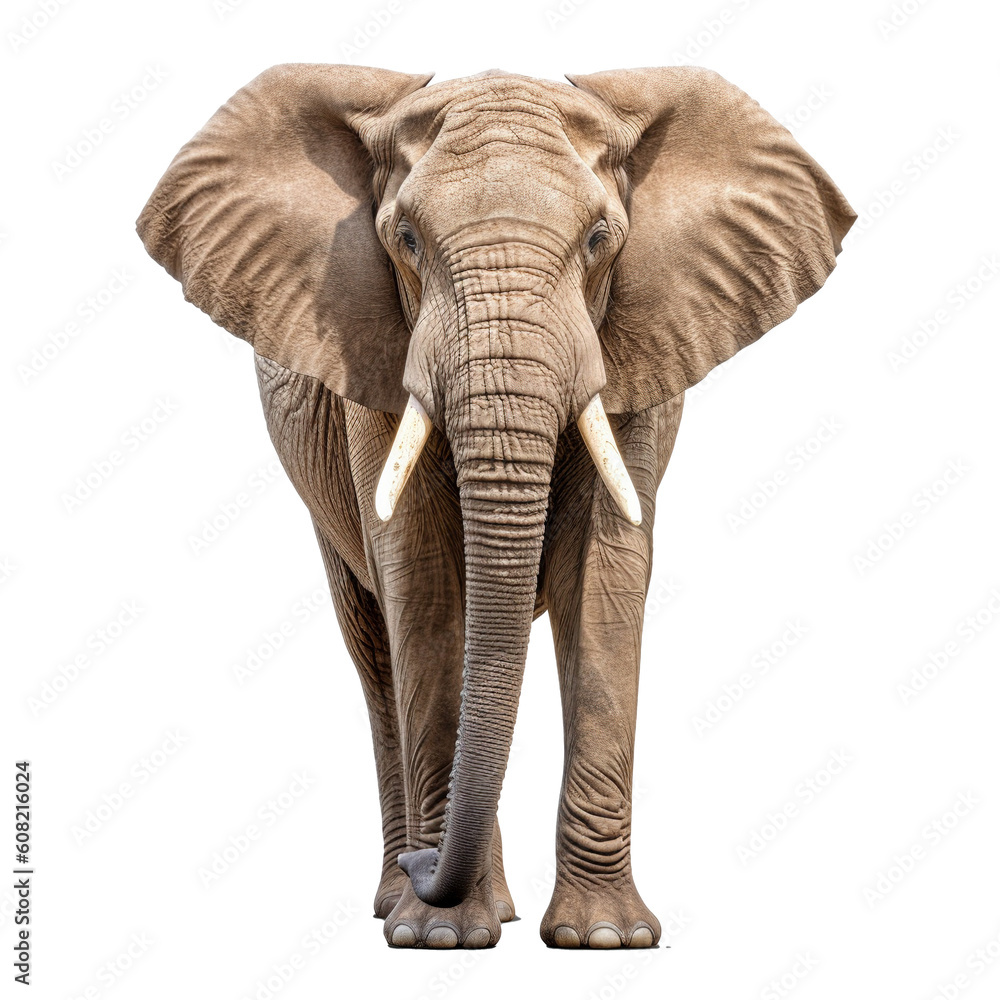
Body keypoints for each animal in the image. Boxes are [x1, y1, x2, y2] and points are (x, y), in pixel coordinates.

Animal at [136, 63, 855, 950]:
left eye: (600, 240)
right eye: (406, 241)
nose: (429, 868)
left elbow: (605, 578)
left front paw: (604, 939)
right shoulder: (373, 359)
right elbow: (422, 580)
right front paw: (440, 936)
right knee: (374, 649)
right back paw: (407, 899)